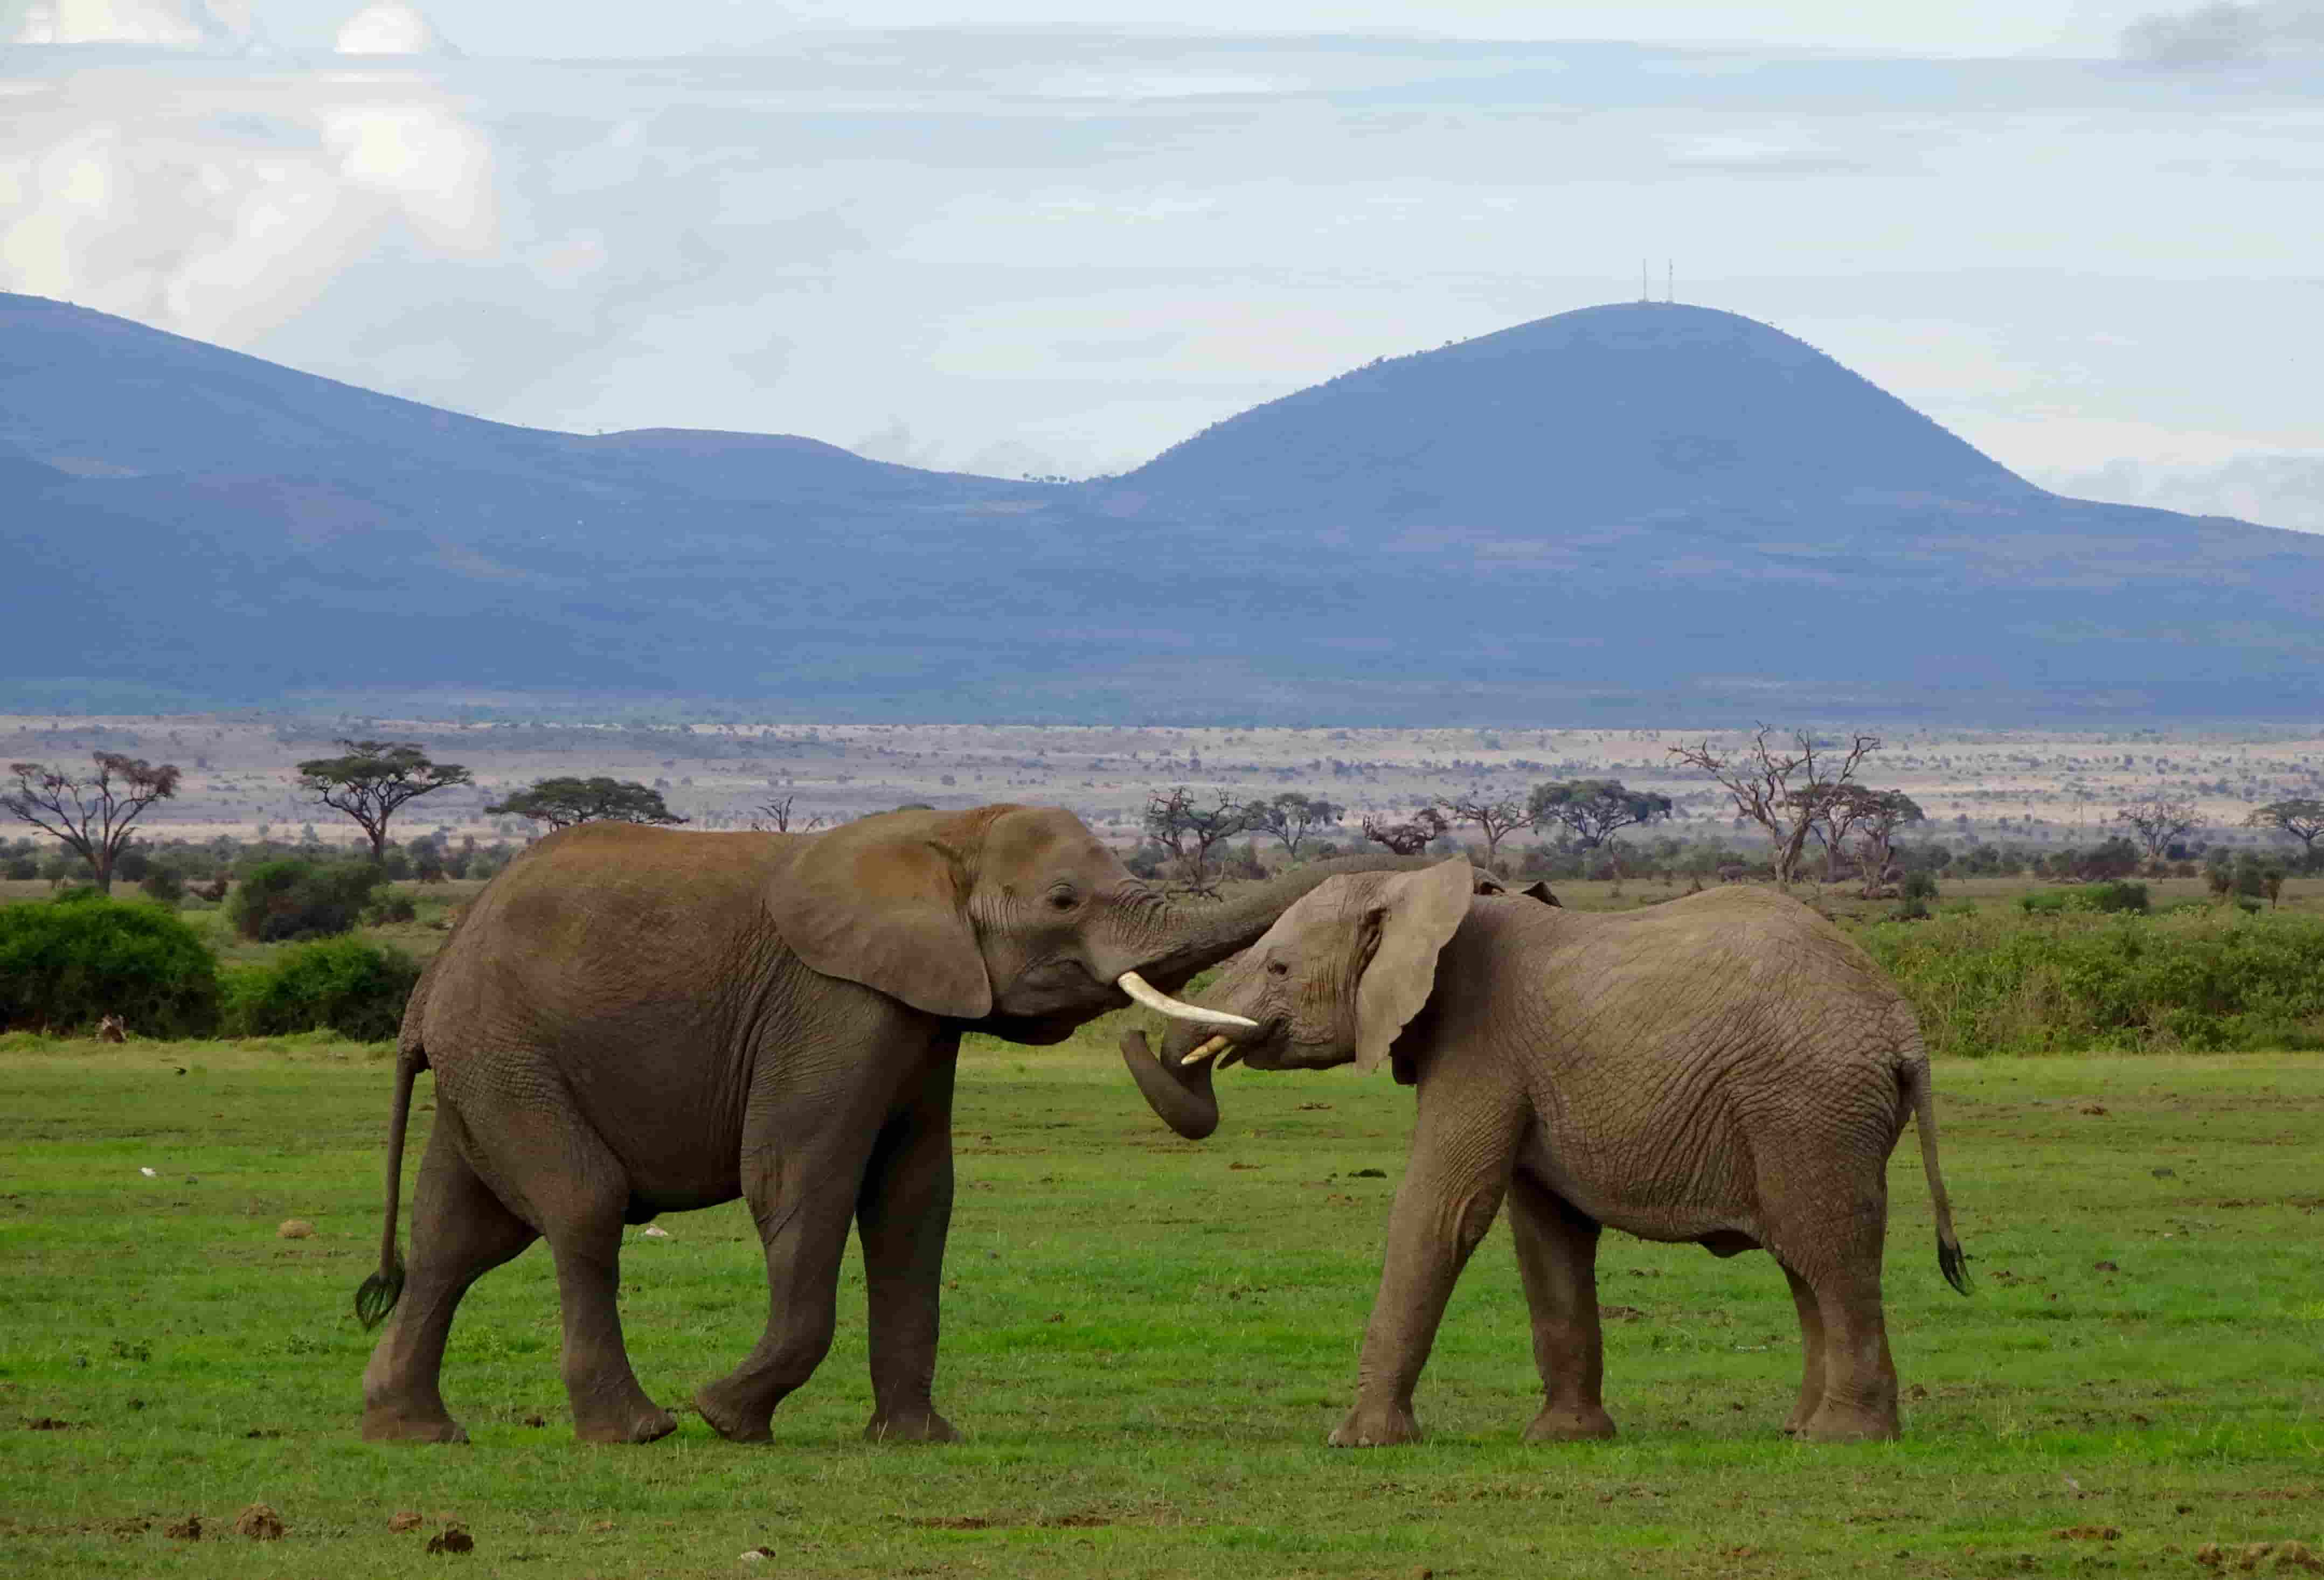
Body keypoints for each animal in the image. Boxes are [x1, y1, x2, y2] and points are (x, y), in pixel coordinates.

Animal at [358, 809, 1431, 1450]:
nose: (1427, 860)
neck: (939, 833)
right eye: (1063, 900)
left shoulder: (920, 1015)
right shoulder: (833, 1001)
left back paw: (414, 1433)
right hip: (506, 1049)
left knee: (455, 1238)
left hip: (488, 1063)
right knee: (582, 1208)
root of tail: (429, 982)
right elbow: (803, 1178)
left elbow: (916, 1197)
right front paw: (729, 1417)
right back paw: (641, 1431)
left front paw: (918, 1441)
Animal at [1115, 864, 1971, 1440]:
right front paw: (1565, 1439)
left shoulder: (1479, 1043)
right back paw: (1797, 1430)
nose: (1128, 1031)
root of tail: (1902, 1023)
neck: (1428, 894)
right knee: (1804, 1260)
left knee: (1829, 1248)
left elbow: (1442, 1212)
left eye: (1280, 967)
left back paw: (1843, 1438)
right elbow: (1545, 1234)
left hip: (1809, 1103)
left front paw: (1357, 1441)